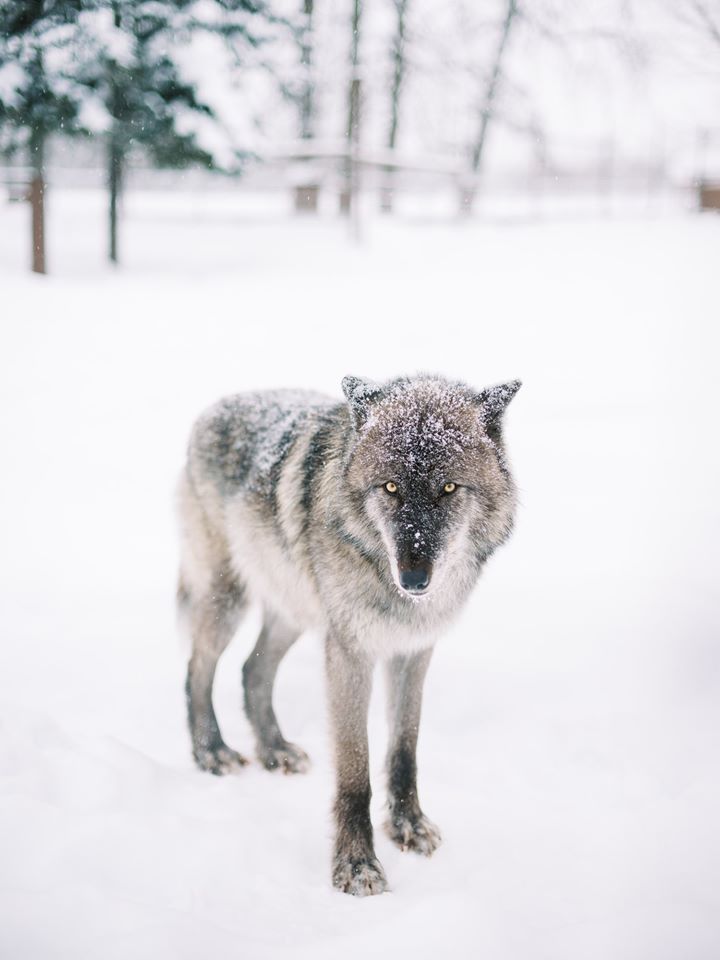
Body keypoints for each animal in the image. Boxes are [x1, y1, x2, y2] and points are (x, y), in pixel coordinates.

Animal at [177, 373, 520, 896]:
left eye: (448, 487)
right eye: (391, 486)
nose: (414, 580)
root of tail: (214, 408)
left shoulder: (413, 652)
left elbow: (404, 752)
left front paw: (408, 826)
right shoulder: (349, 653)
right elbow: (356, 773)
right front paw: (357, 865)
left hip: (293, 611)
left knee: (252, 670)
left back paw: (274, 751)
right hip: (228, 600)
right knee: (198, 668)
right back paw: (211, 752)